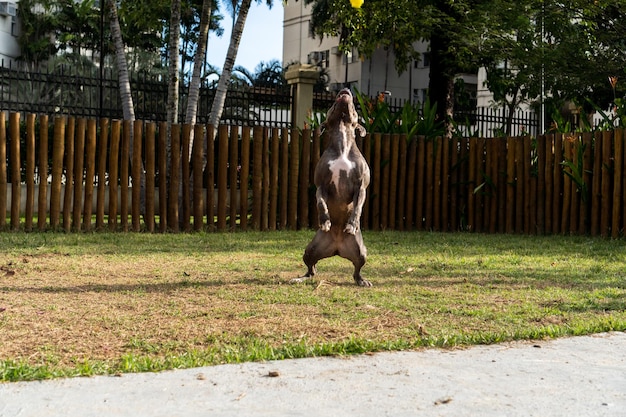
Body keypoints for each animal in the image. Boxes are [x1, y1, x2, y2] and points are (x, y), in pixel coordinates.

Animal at [292, 88, 370, 286]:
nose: (345, 89)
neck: (342, 144)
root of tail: (337, 248)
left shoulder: (361, 187)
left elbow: (358, 207)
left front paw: (352, 224)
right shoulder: (321, 186)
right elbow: (321, 203)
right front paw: (325, 221)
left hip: (361, 252)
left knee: (356, 270)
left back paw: (362, 281)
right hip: (310, 249)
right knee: (311, 269)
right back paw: (299, 278)